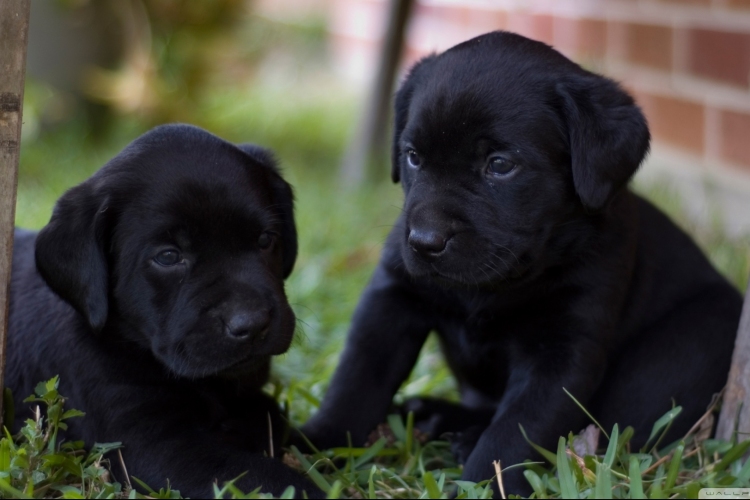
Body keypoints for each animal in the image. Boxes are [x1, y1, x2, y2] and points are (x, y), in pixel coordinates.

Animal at [7, 123, 322, 498]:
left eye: (265, 239)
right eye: (169, 256)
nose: (253, 323)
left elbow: (280, 423)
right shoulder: (151, 445)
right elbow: (261, 475)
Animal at [304, 31, 748, 496]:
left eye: (500, 165)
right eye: (412, 156)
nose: (424, 242)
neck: (494, 286)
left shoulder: (561, 351)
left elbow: (515, 431)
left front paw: (481, 485)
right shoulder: (391, 299)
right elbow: (355, 382)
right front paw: (312, 445)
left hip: (680, 353)